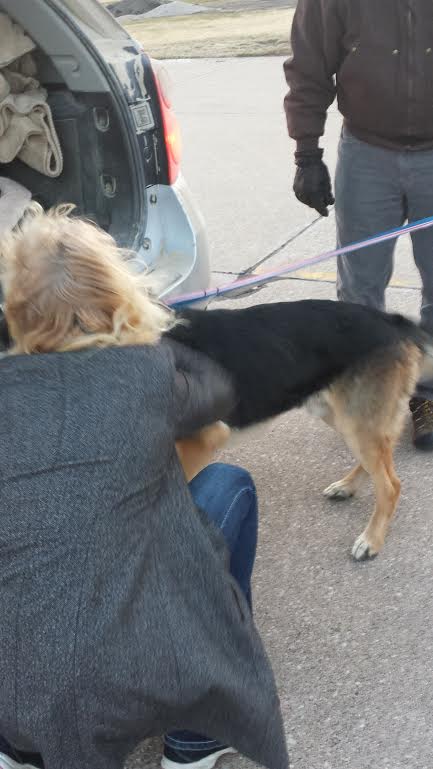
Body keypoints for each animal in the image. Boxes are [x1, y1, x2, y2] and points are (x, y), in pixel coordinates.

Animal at [166, 298, 432, 560]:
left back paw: (371, 540)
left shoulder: (202, 441)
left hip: (355, 421)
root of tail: (390, 320)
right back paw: (346, 487)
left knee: (390, 486)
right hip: (342, 417)